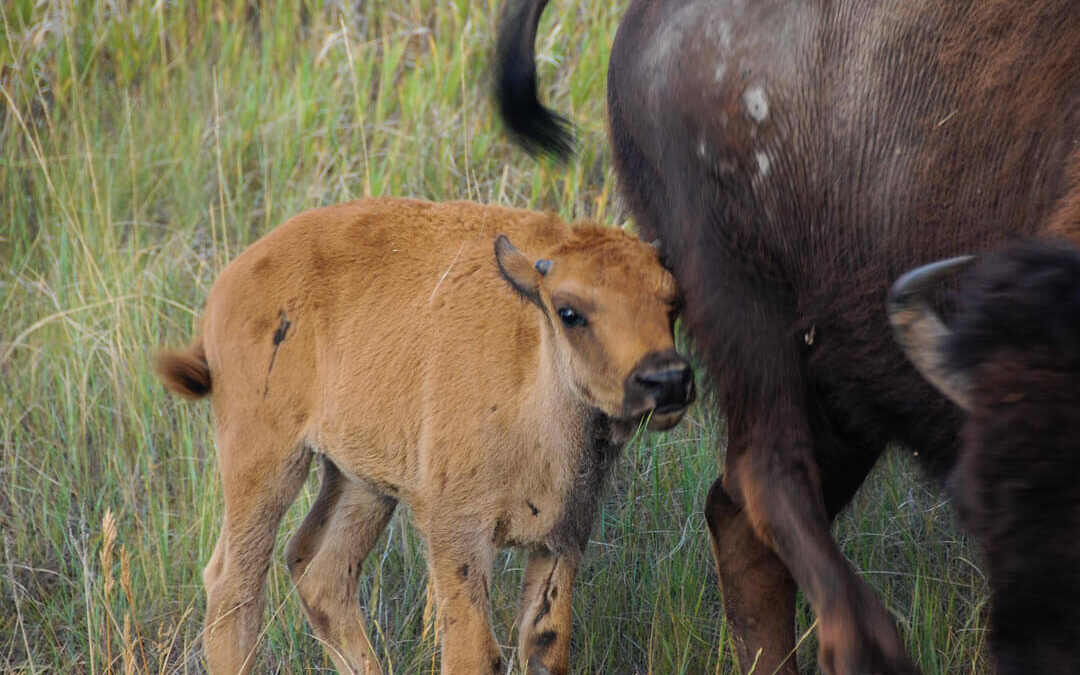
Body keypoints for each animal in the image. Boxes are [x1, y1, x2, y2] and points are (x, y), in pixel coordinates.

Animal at [156, 197, 695, 669]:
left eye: (673, 304)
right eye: (569, 311)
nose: (666, 379)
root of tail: (230, 282)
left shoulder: (561, 539)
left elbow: (546, 648)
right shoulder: (457, 534)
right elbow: (474, 653)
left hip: (361, 480)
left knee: (321, 572)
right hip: (264, 460)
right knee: (234, 586)